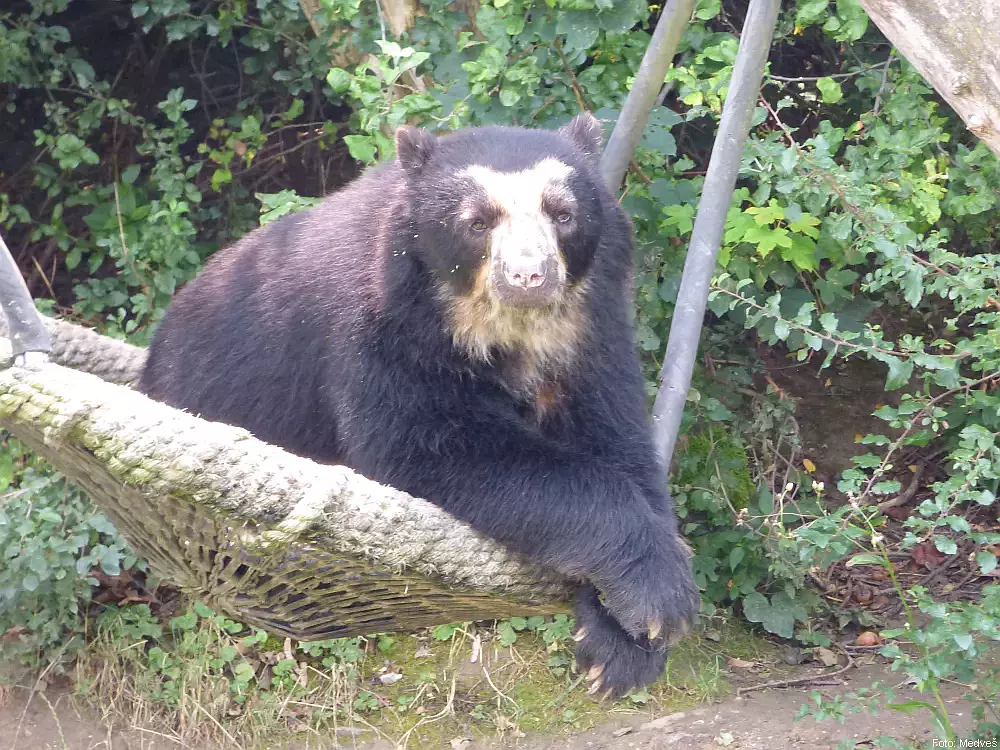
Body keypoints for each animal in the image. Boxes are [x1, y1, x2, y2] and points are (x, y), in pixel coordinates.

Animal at [141, 114, 700, 704]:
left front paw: (621, 645)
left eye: (563, 214)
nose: (528, 277)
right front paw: (657, 598)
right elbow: (427, 445)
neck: (505, 333)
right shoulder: (381, 325)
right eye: (477, 222)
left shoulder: (591, 329)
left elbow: (615, 435)